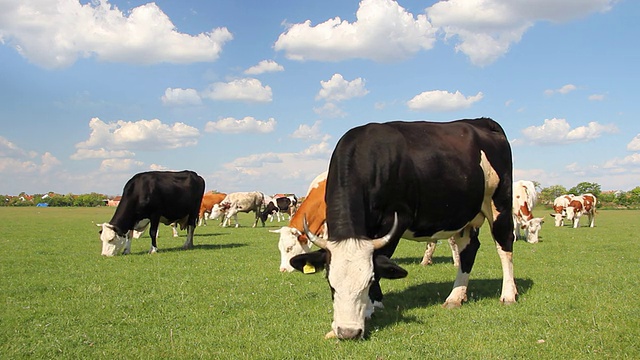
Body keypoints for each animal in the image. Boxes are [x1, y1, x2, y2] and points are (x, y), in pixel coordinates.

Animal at [288, 119, 516, 340]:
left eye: (368, 281)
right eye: (330, 283)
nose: (348, 332)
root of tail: (482, 122)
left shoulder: (395, 222)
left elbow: (381, 260)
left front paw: (372, 306)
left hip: (500, 204)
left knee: (504, 245)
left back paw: (508, 294)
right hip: (464, 217)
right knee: (468, 250)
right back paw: (455, 297)